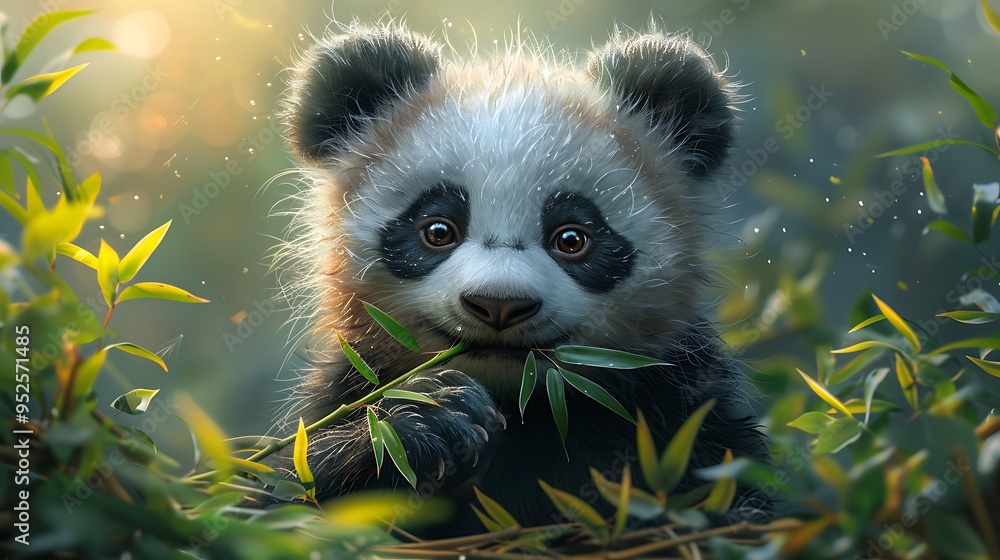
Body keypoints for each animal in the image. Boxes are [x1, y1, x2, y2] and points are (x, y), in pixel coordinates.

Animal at [269, 21, 768, 534]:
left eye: (572, 238)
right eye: (438, 230)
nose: (498, 304)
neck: (523, 400)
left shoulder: (676, 406)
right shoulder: (348, 381)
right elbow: (290, 491)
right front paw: (429, 419)